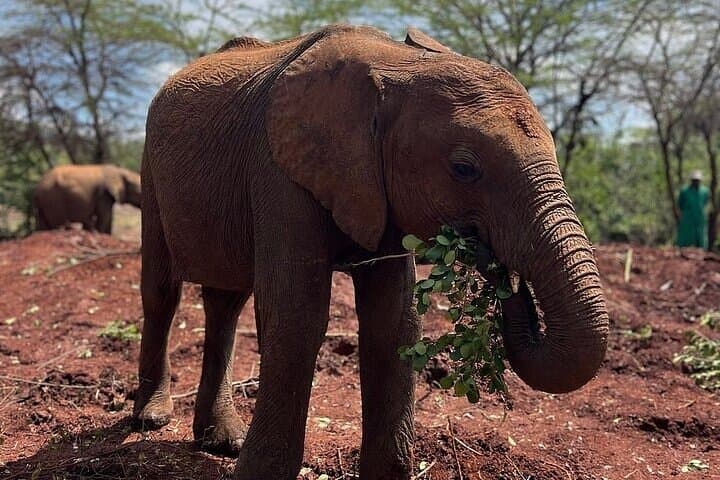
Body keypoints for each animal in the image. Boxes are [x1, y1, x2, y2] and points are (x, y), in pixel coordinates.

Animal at [133, 25, 609, 480]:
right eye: (464, 169)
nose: (502, 271)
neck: (396, 63)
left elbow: (394, 322)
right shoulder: (279, 169)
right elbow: (297, 316)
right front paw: (257, 475)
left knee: (226, 300)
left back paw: (221, 440)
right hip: (149, 170)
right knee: (162, 292)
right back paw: (152, 418)